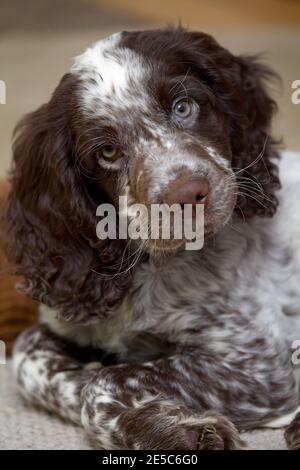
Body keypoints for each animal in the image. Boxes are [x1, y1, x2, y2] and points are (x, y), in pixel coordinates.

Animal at [4, 26, 300, 452]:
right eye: (108, 151)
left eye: (183, 107)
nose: (188, 193)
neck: (150, 267)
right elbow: (31, 357)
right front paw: (167, 422)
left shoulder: (259, 366)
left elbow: (106, 381)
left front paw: (171, 428)